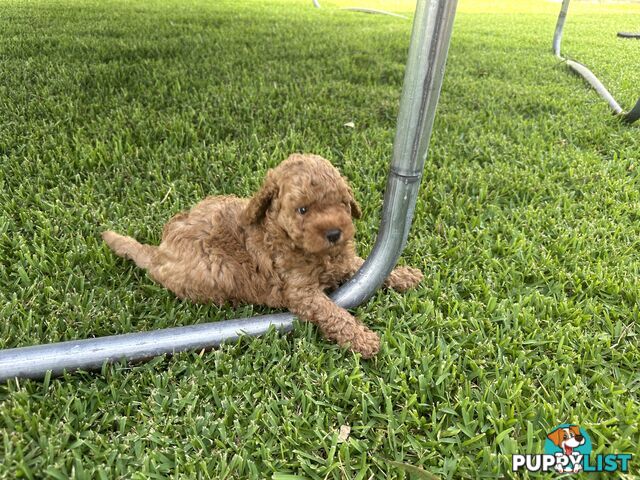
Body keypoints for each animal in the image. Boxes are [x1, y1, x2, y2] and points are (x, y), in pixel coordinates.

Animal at [104, 154, 424, 356]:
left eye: (342, 203)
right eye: (303, 209)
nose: (335, 233)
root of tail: (160, 250)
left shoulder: (344, 261)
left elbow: (364, 265)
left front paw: (405, 275)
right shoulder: (300, 291)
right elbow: (333, 313)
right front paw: (363, 339)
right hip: (211, 270)